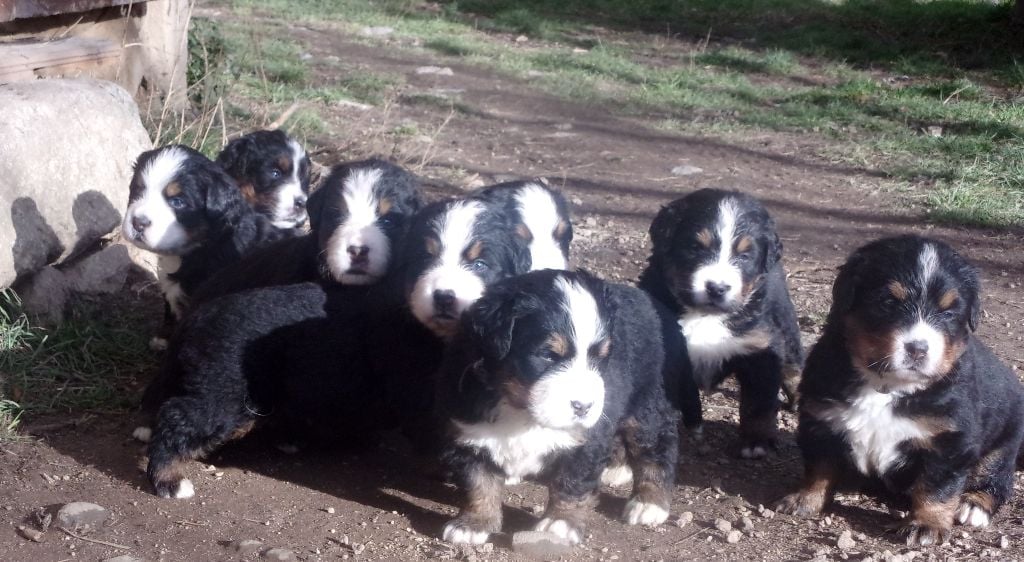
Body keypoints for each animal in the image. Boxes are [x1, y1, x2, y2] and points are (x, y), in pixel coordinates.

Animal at [144, 195, 536, 497]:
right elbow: (439, 439)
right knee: (177, 417)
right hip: (227, 394)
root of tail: (200, 314)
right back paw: (168, 479)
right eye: (426, 259)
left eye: (481, 263)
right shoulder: (419, 395)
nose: (444, 297)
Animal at [438, 270, 679, 544]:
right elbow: (478, 482)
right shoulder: (467, 432)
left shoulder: (586, 438)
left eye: (599, 357)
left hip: (643, 403)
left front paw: (560, 522)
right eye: (548, 355)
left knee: (656, 444)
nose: (583, 406)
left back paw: (649, 502)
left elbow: (572, 482)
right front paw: (474, 523)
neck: (521, 410)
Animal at [638, 186, 798, 458]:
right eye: (695, 247)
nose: (717, 288)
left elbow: (758, 402)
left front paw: (755, 442)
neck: (705, 316)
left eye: (745, 255)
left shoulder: (761, 347)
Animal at [774, 234, 1024, 544]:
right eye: (887, 302)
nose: (918, 349)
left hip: (1004, 442)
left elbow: (936, 486)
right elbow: (819, 466)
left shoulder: (949, 439)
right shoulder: (821, 418)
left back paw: (974, 505)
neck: (887, 385)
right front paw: (805, 499)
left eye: (948, 311)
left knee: (996, 478)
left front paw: (926, 525)